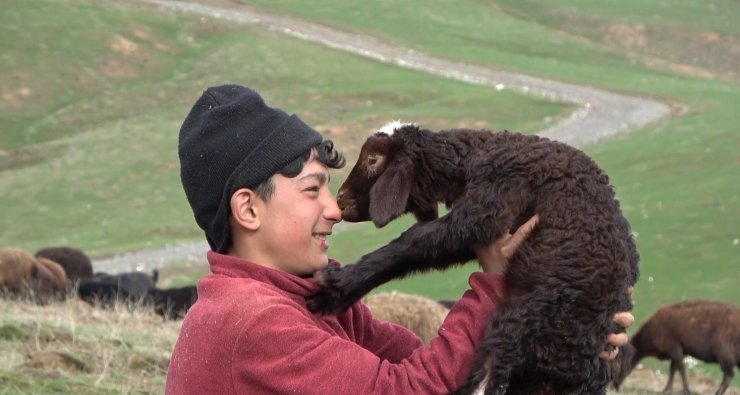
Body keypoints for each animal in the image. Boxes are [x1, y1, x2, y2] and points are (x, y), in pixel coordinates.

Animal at [304, 124, 640, 395]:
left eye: (373, 159)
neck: (473, 158)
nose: (341, 200)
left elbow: (416, 240)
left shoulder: (490, 205)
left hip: (515, 333)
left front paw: (339, 283)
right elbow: (424, 251)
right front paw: (338, 295)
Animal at [612, 300, 740, 395]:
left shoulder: (674, 348)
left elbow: (680, 369)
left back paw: (717, 392)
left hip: (724, 353)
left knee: (729, 375)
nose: (614, 385)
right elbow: (673, 369)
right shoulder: (676, 351)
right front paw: (667, 389)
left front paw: (686, 390)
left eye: (618, 363)